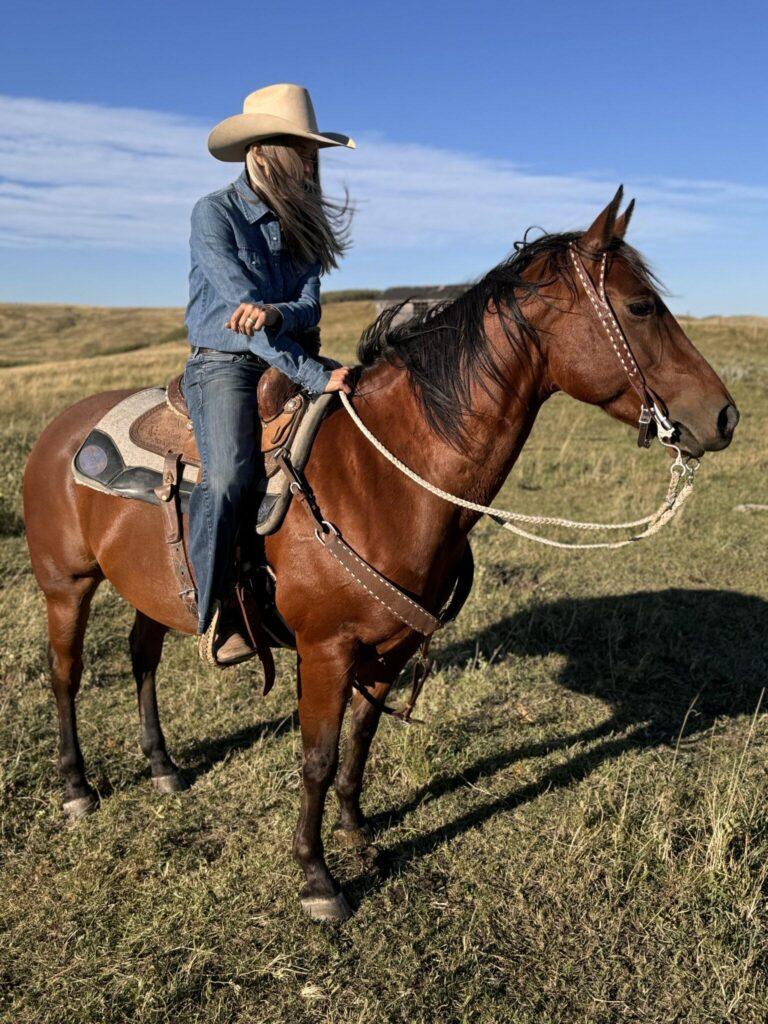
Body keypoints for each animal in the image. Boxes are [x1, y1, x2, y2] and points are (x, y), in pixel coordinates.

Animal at [22, 189, 738, 921]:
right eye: (641, 307)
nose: (724, 416)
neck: (383, 476)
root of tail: (61, 427)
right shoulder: (325, 650)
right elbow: (316, 755)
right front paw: (316, 878)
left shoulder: (390, 648)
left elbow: (360, 741)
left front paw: (357, 832)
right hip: (66, 585)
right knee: (66, 674)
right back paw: (77, 787)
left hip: (157, 591)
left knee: (142, 658)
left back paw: (164, 767)